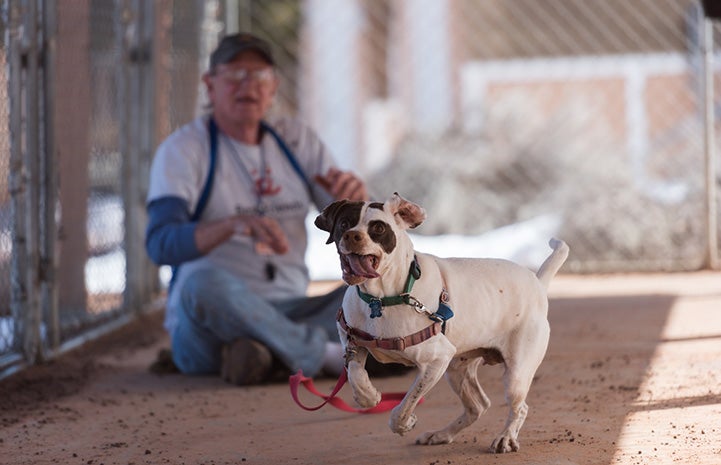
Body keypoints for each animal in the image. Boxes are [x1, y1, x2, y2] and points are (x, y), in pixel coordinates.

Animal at [316, 192, 568, 454]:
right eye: (344, 224)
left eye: (378, 228)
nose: (352, 236)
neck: (381, 300)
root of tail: (537, 283)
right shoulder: (351, 341)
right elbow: (356, 375)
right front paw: (369, 396)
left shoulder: (436, 360)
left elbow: (404, 407)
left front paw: (406, 422)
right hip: (457, 369)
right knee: (478, 406)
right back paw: (441, 435)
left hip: (515, 375)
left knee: (520, 407)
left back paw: (506, 437)